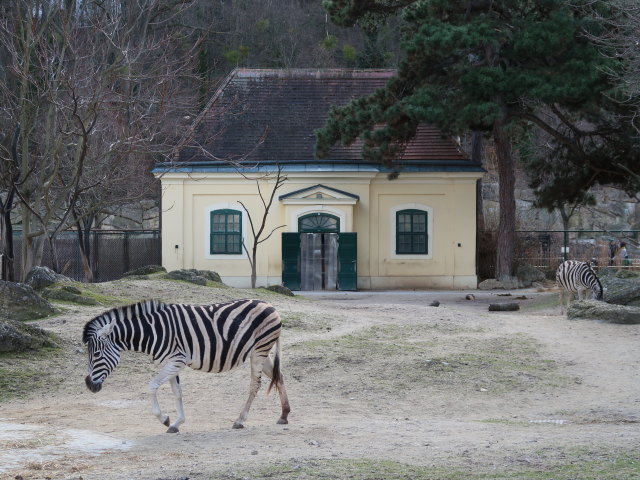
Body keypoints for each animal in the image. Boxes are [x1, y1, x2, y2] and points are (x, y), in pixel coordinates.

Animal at [83, 298, 290, 433]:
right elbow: (177, 392)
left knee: (255, 384)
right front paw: (176, 423)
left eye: (96, 354)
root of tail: (269, 304)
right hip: (261, 352)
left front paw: (164, 419)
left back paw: (240, 420)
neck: (153, 332)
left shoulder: (176, 360)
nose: (89, 386)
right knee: (278, 375)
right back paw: (284, 415)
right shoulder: (172, 362)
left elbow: (151, 386)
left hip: (259, 350)